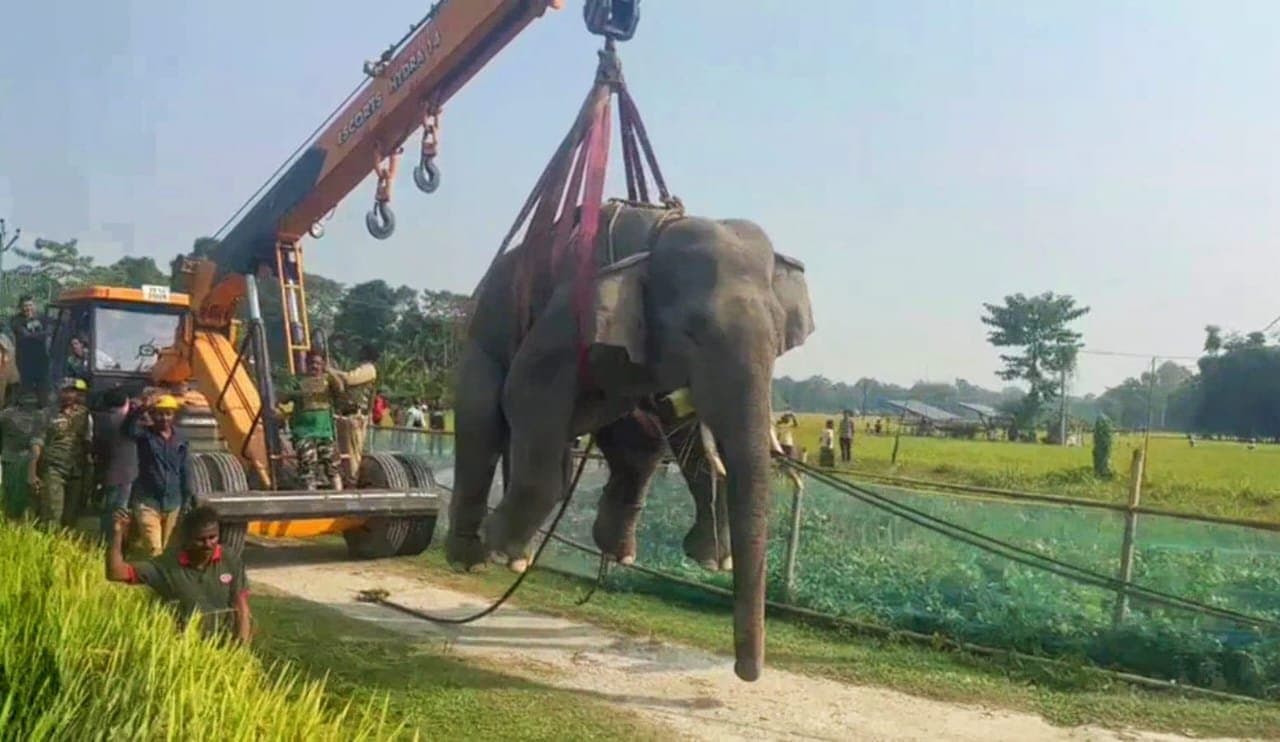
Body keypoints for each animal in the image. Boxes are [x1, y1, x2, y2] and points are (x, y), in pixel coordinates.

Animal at [446, 199, 815, 682]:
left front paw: (713, 561)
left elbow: (681, 425)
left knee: (634, 444)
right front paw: (497, 544)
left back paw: (599, 554)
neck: (659, 233)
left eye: (777, 337)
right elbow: (526, 390)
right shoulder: (573, 312)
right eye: (692, 330)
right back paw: (480, 554)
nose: (745, 672)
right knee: (485, 420)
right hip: (484, 337)